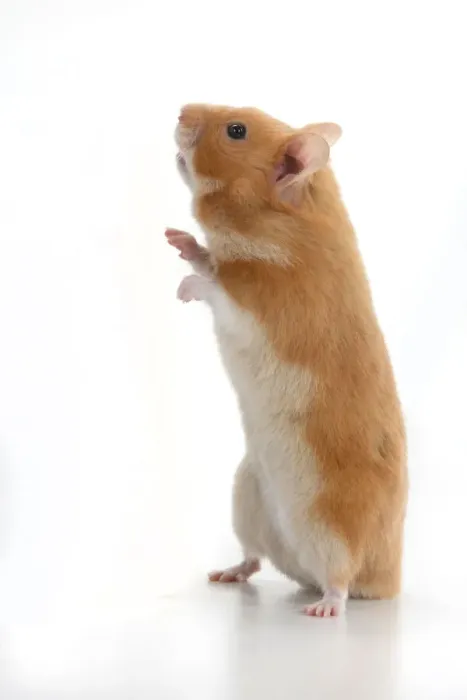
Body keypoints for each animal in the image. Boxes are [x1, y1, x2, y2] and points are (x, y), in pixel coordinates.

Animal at [166, 104, 408, 617]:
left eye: (236, 131)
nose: (180, 111)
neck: (283, 224)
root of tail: (388, 582)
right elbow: (206, 259)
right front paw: (177, 238)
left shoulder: (264, 307)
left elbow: (217, 289)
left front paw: (183, 289)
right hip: (246, 496)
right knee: (255, 559)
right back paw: (225, 574)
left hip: (333, 529)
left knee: (341, 578)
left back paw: (323, 608)